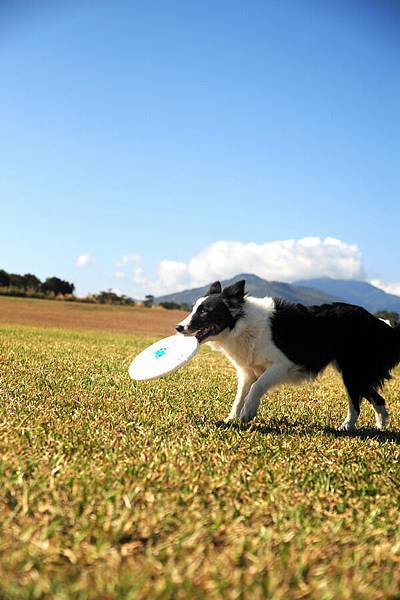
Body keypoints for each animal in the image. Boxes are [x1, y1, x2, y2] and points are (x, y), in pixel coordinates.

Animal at [176, 280, 400, 432]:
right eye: (194, 309)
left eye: (204, 311)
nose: (178, 327)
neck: (240, 323)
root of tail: (379, 323)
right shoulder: (247, 371)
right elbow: (240, 396)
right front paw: (231, 418)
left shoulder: (282, 364)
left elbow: (257, 387)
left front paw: (248, 413)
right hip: (358, 374)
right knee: (378, 399)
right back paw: (381, 426)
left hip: (352, 373)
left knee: (356, 404)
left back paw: (347, 427)